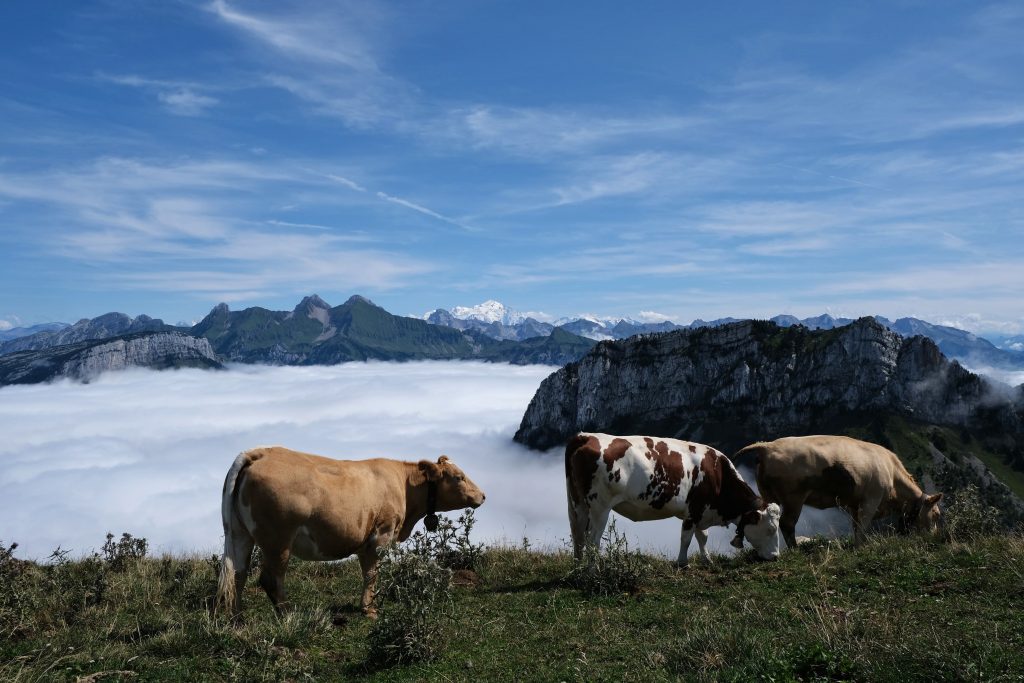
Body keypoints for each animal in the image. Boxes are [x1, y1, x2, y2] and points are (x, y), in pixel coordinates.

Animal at [215, 448, 483, 618]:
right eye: (459, 477)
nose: (482, 495)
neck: (405, 486)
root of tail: (260, 452)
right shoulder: (381, 535)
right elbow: (372, 574)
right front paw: (369, 609)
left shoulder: (366, 542)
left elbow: (368, 572)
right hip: (278, 540)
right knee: (270, 579)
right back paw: (289, 615)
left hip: (239, 533)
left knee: (237, 574)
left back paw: (237, 618)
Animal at [565, 432, 778, 565]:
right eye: (770, 529)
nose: (776, 556)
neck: (717, 473)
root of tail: (586, 436)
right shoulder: (694, 510)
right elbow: (686, 538)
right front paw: (682, 563)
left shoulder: (702, 511)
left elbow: (703, 537)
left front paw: (707, 560)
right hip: (600, 506)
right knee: (592, 539)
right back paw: (592, 570)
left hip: (578, 503)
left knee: (578, 535)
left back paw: (578, 567)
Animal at [737, 438, 942, 548]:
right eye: (936, 514)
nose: (935, 535)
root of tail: (768, 445)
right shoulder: (871, 500)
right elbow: (863, 525)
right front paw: (861, 546)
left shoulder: (854, 504)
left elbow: (856, 525)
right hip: (793, 498)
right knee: (787, 524)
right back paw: (795, 550)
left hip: (767, 495)